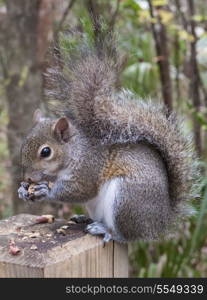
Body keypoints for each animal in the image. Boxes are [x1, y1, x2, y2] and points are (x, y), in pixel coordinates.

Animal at [18, 38, 199, 244]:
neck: (75, 150)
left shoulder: (89, 168)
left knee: (125, 235)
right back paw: (84, 219)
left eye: (46, 152)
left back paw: (106, 230)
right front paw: (23, 190)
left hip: (126, 199)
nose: (28, 178)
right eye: (24, 145)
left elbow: (81, 189)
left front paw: (44, 191)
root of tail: (161, 222)